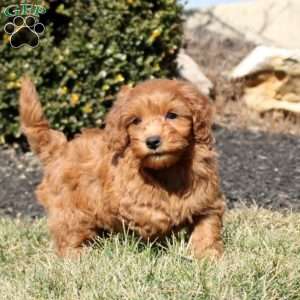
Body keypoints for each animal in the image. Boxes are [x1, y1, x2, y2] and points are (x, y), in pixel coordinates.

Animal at [19, 77, 225, 258]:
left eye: (172, 115)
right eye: (136, 121)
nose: (152, 141)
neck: (166, 169)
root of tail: (59, 149)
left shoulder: (206, 198)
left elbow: (207, 228)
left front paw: (208, 257)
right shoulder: (123, 196)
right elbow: (149, 210)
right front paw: (168, 220)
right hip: (68, 209)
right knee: (69, 234)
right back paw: (79, 256)